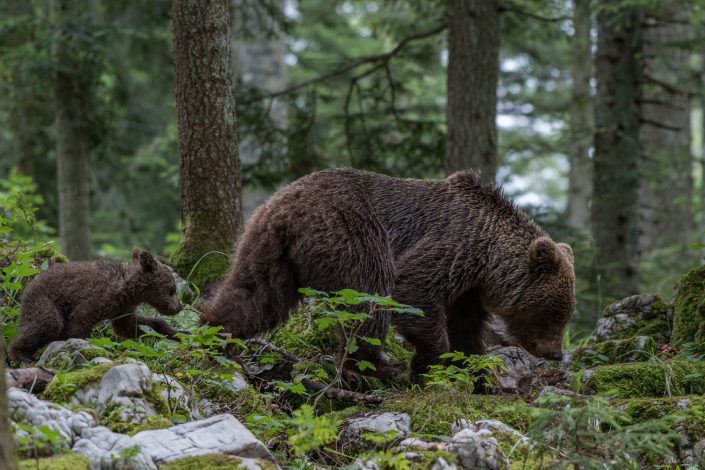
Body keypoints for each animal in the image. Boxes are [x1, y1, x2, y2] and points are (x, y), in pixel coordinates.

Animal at [201, 167, 576, 376]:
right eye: (552, 314)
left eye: (565, 315)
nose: (556, 353)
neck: (489, 259)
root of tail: (286, 210)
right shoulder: (454, 244)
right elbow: (412, 289)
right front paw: (432, 363)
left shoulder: (469, 287)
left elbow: (466, 328)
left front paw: (476, 371)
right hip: (352, 232)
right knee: (369, 297)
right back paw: (377, 367)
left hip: (265, 245)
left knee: (253, 295)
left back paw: (213, 334)